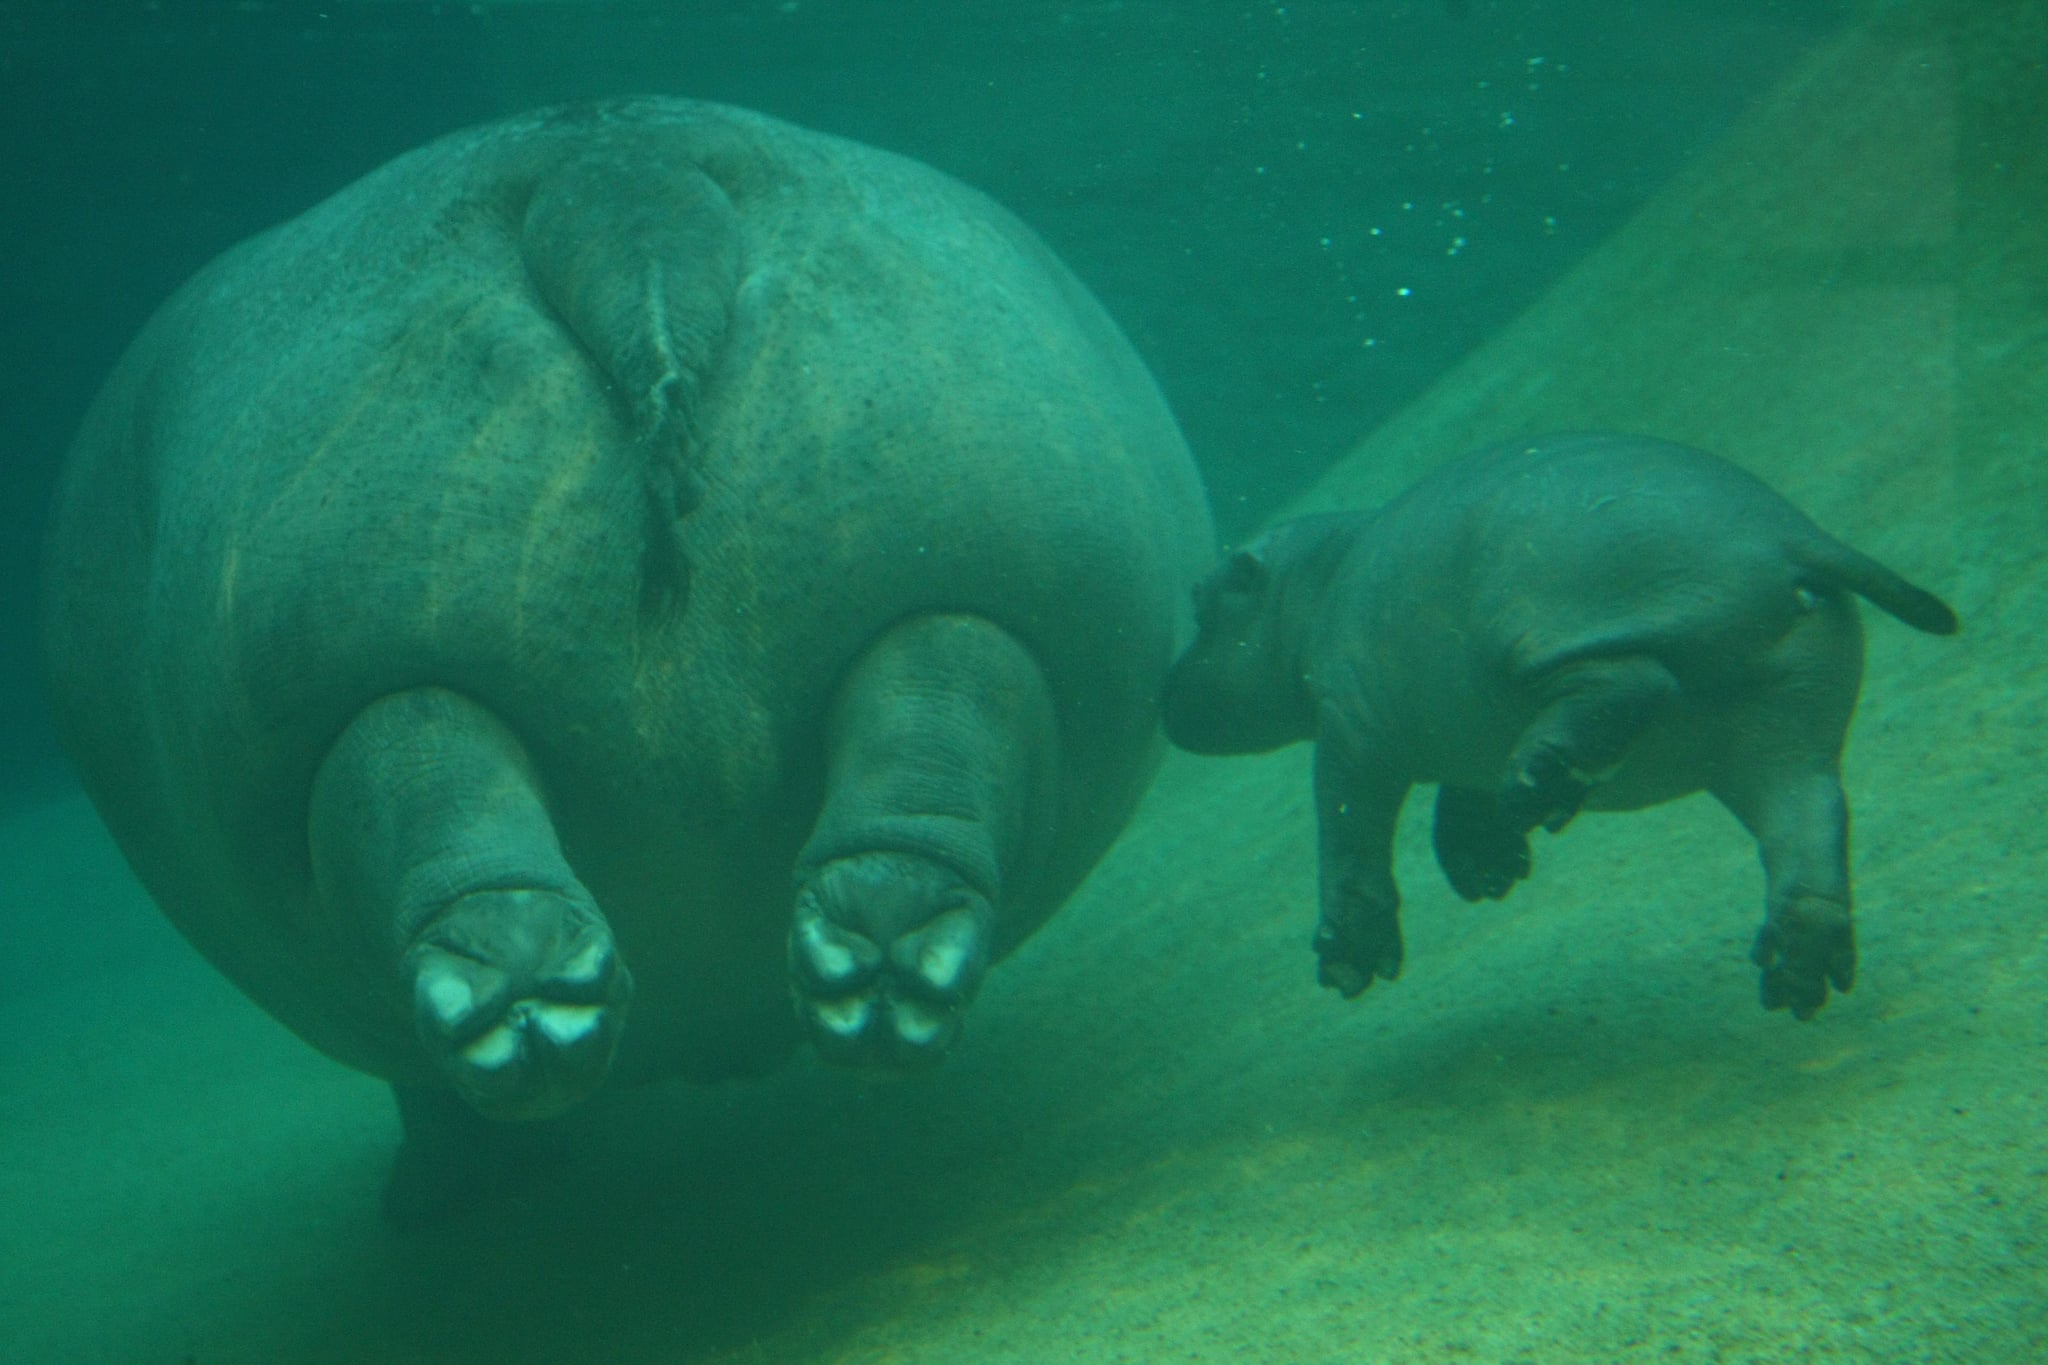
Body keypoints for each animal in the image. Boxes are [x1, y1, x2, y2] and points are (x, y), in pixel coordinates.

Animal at [1162, 433, 1955, 1020]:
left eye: (1200, 601)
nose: (1160, 691)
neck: (1316, 580)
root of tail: (1792, 537)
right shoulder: (1464, 728)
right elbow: (1463, 797)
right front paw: (1486, 869)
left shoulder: (1350, 724)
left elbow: (1347, 830)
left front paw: (1349, 955)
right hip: (1781, 729)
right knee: (1810, 821)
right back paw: (1797, 971)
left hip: (1544, 623)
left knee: (1634, 681)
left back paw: (1540, 780)